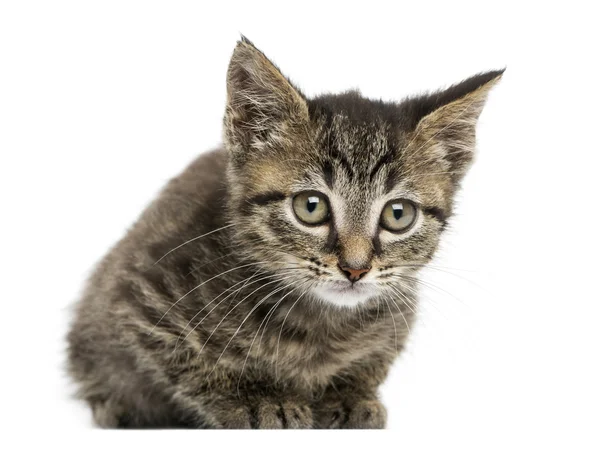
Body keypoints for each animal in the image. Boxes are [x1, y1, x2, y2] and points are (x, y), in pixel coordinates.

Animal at [68, 37, 504, 428]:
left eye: (399, 214)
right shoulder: (139, 299)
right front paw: (258, 398)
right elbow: (189, 364)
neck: (323, 323)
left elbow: (371, 361)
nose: (356, 268)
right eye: (311, 207)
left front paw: (351, 395)